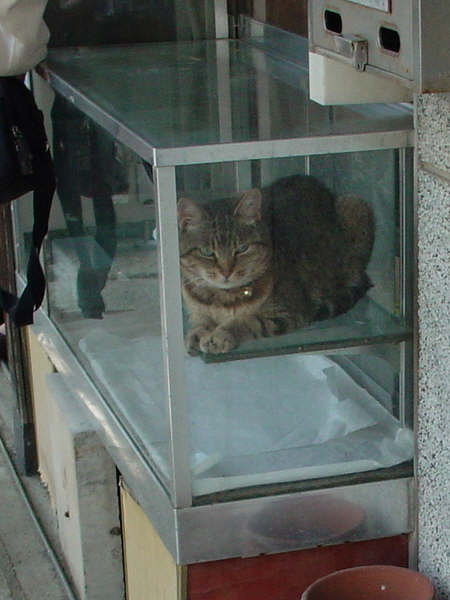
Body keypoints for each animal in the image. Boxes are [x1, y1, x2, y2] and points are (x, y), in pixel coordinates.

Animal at [177, 174, 375, 355]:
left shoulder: (286, 312)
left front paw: (220, 335)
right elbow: (200, 320)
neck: (223, 298)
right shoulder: (196, 308)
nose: (226, 272)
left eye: (242, 248)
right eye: (206, 252)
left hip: (357, 207)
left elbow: (248, 321)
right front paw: (196, 333)